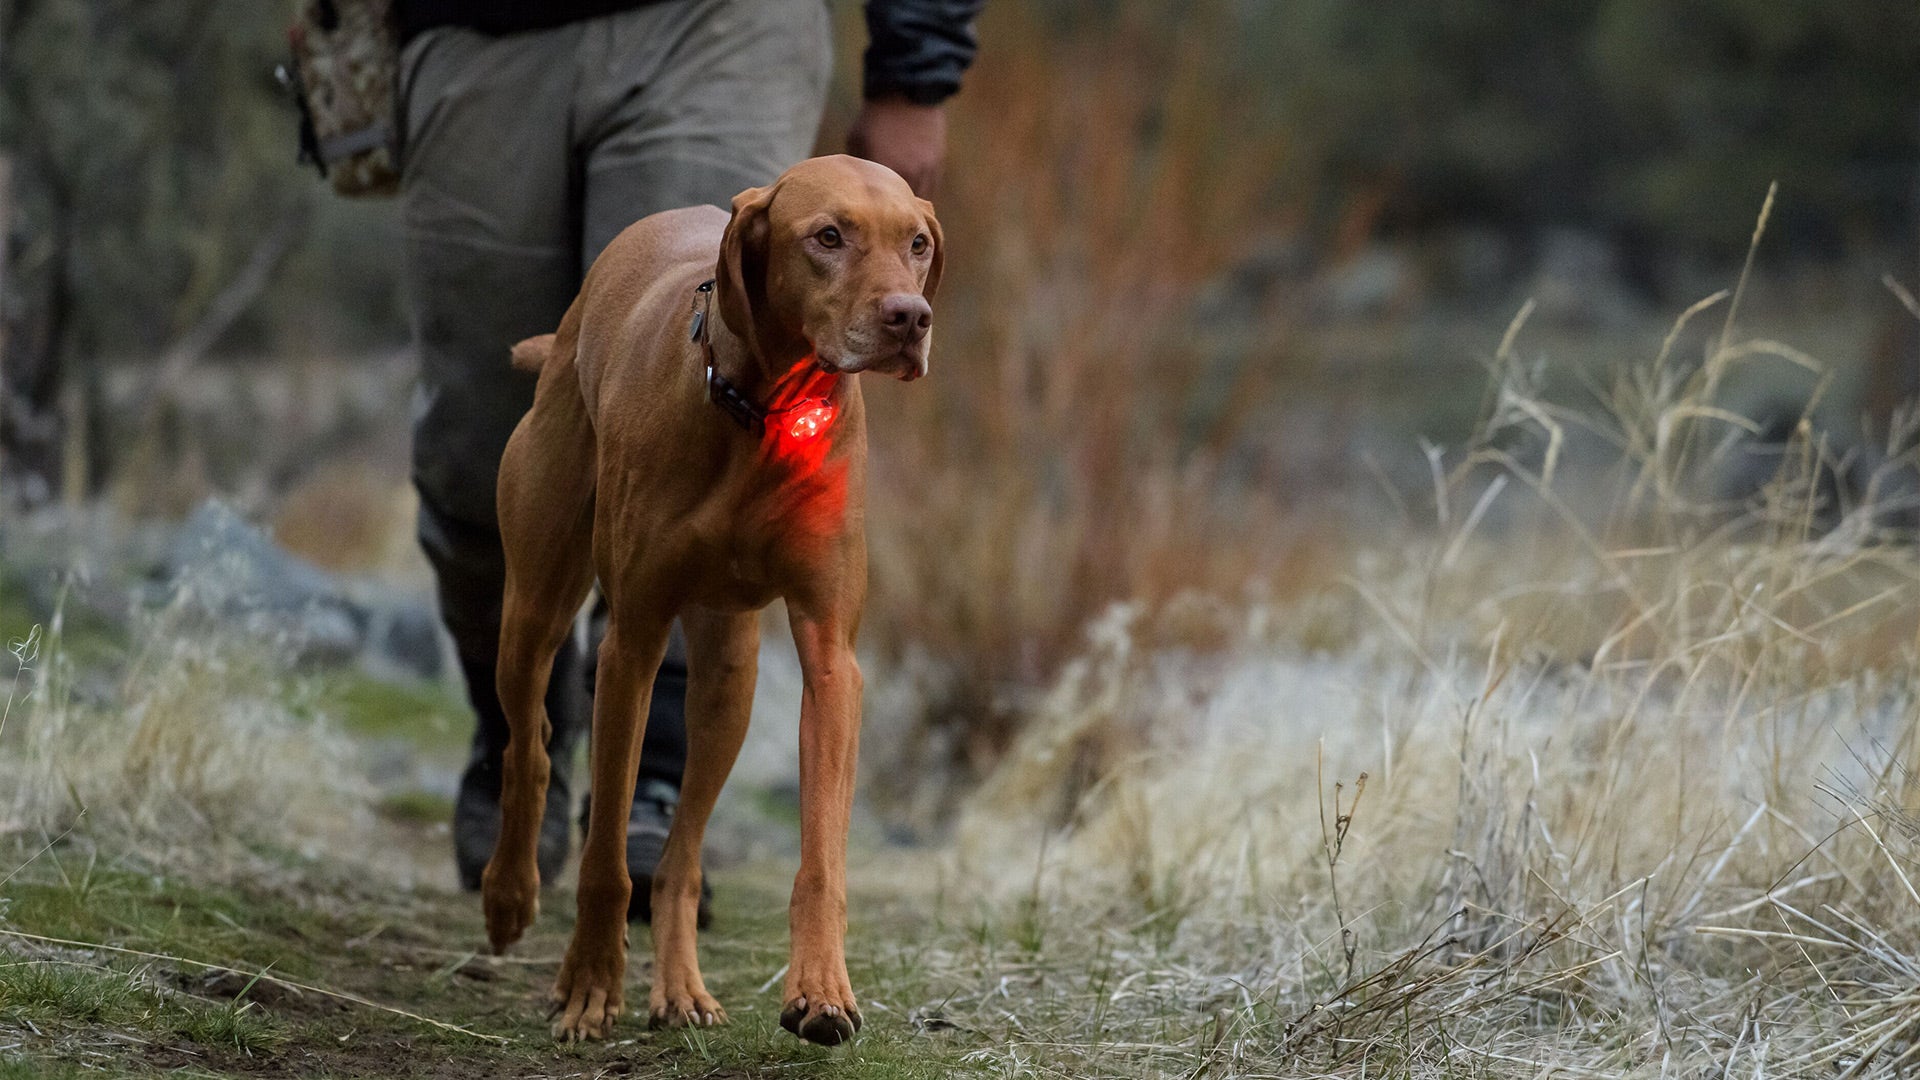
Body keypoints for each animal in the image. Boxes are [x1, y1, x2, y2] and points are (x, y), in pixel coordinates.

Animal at [472, 153, 936, 1045]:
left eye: (918, 243)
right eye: (828, 237)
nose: (911, 318)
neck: (764, 410)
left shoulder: (832, 658)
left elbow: (820, 856)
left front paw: (822, 991)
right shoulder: (633, 643)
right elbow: (605, 858)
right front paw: (590, 986)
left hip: (729, 680)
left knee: (681, 851)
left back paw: (681, 987)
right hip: (535, 603)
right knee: (530, 744)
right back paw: (510, 894)